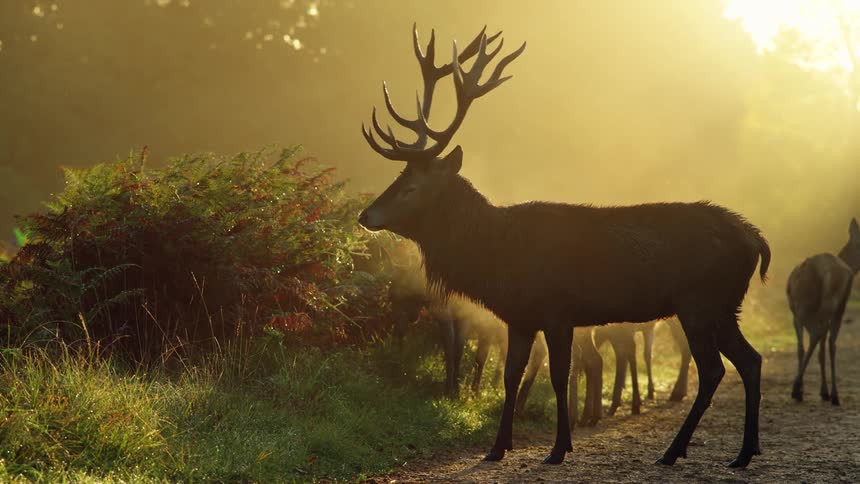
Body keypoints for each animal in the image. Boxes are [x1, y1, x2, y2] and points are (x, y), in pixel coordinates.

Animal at [358, 25, 770, 467]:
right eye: (397, 177)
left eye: (412, 187)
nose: (366, 215)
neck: (497, 258)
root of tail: (756, 239)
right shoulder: (520, 317)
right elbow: (510, 375)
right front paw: (497, 447)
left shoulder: (557, 311)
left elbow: (559, 374)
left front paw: (558, 449)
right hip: (724, 306)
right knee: (750, 360)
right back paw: (744, 451)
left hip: (699, 302)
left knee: (713, 370)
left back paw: (674, 451)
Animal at [788, 218, 860, 405]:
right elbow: (821, 349)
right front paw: (823, 391)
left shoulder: (796, 313)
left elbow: (803, 347)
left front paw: (811, 390)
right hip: (838, 307)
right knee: (831, 343)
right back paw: (834, 395)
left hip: (806, 306)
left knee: (813, 338)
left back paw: (797, 389)